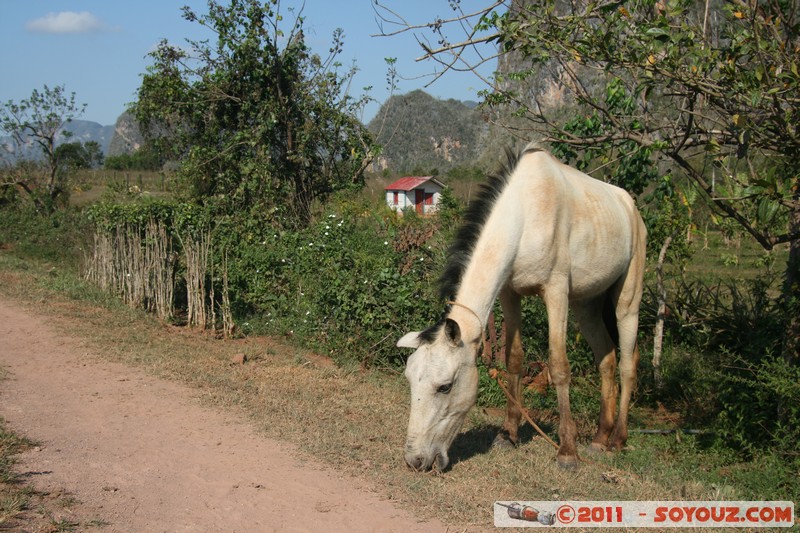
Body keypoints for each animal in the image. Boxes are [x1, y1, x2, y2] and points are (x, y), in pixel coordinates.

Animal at [397, 145, 647, 471]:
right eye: (410, 380)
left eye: (445, 387)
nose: (415, 461)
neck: (525, 216)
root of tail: (630, 208)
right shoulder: (509, 293)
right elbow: (513, 359)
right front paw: (509, 434)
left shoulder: (555, 292)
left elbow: (559, 366)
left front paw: (567, 452)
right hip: (586, 304)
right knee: (607, 359)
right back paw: (599, 438)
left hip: (627, 300)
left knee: (628, 364)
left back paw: (617, 439)